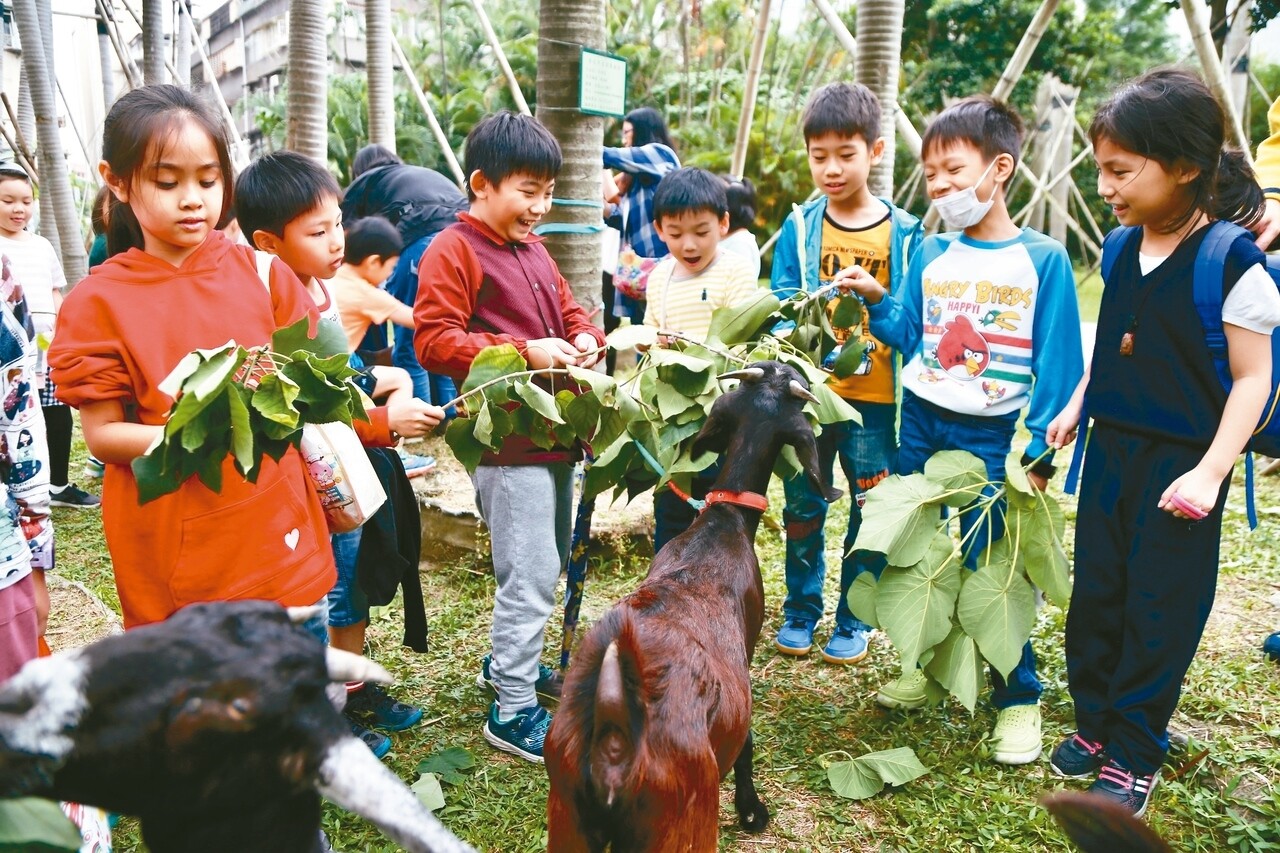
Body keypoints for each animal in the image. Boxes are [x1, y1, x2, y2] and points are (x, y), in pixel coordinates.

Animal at [547, 361, 839, 850]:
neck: (723, 522)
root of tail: (614, 736)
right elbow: (747, 741)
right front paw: (751, 810)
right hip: (685, 820)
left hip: (567, 818)